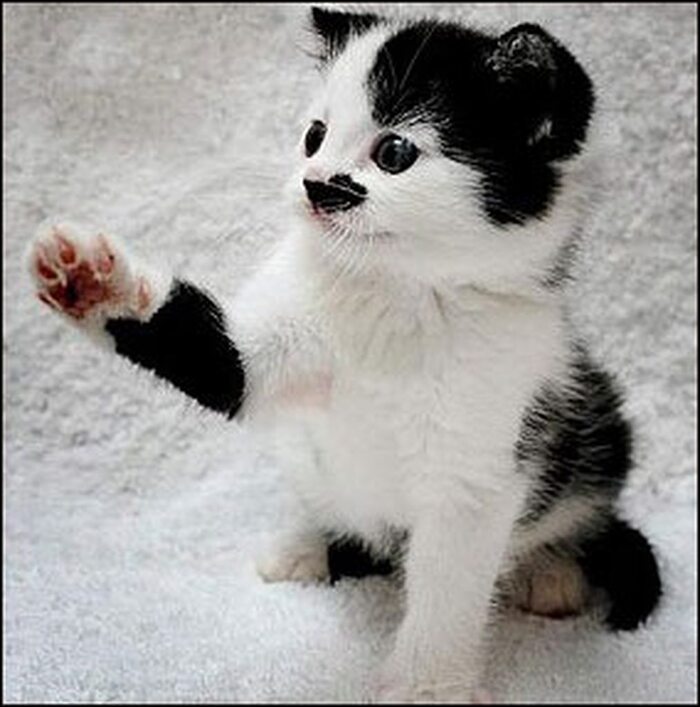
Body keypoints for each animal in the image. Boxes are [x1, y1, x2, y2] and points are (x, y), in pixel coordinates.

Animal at [28, 7, 662, 702]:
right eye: (314, 136)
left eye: (394, 153)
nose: (312, 185)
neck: (396, 295)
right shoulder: (272, 342)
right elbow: (218, 359)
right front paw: (92, 281)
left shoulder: (489, 437)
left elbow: (449, 578)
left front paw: (427, 683)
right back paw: (309, 545)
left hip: (600, 429)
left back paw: (551, 571)